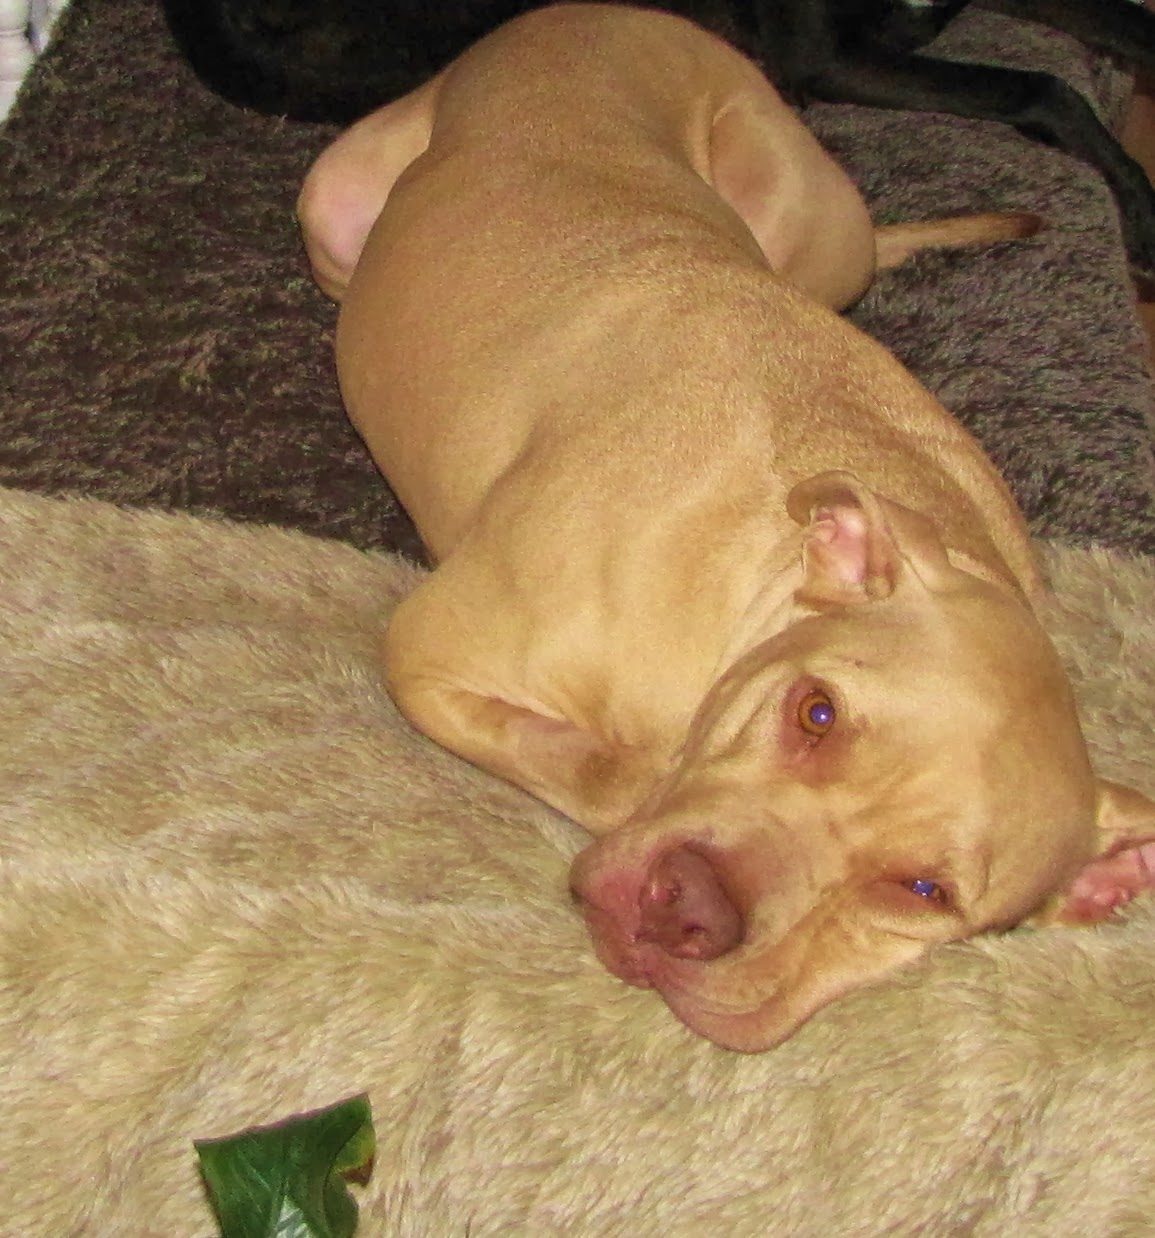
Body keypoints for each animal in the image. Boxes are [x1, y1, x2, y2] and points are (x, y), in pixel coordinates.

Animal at [297, 4, 1155, 1050]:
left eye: (923, 890)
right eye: (815, 712)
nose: (689, 907)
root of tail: (591, 15)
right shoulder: (430, 655)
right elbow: (598, 771)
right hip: (337, 206)